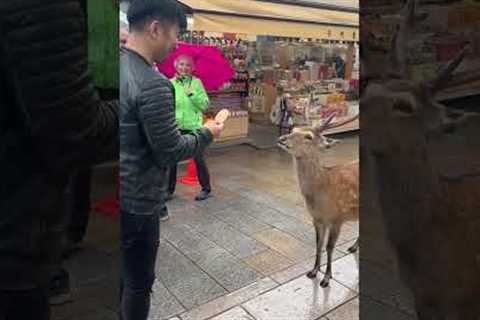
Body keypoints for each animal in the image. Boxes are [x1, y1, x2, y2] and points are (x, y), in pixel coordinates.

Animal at [276, 114, 358, 288]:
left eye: (309, 137)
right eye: (293, 129)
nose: (282, 138)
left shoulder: (337, 218)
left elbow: (329, 247)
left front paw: (326, 278)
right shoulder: (317, 219)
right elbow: (318, 244)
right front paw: (313, 271)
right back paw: (353, 247)